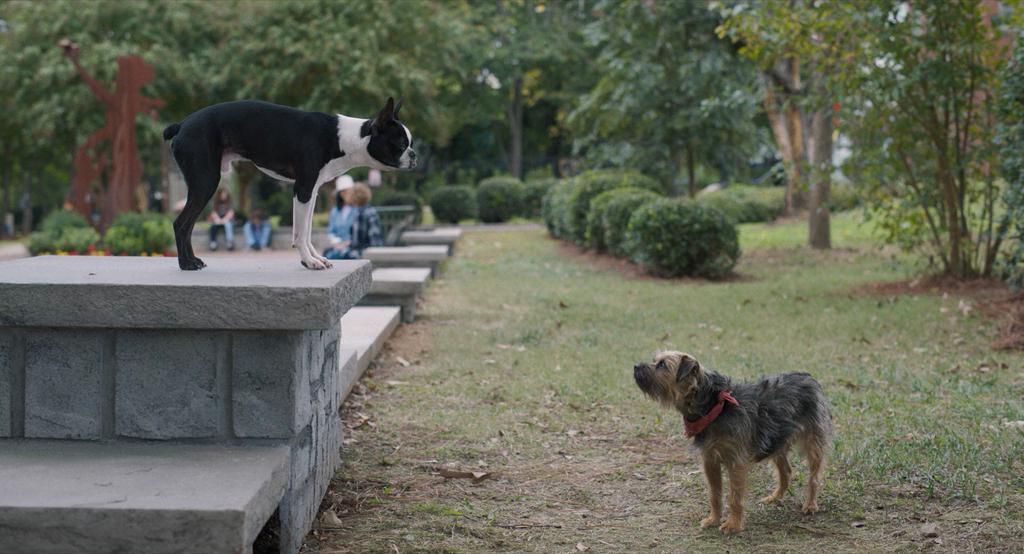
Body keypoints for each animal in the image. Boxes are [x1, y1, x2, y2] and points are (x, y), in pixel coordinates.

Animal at [161, 97, 413, 270]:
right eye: (400, 144)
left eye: (409, 144)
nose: (414, 154)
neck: (346, 139)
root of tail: (182, 124)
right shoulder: (302, 189)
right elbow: (300, 233)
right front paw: (309, 262)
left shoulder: (312, 192)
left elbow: (307, 230)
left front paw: (314, 258)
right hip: (205, 182)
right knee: (181, 223)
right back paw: (186, 264)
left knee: (188, 225)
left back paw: (192, 260)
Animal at [630, 350, 831, 532]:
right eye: (655, 360)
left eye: (662, 365)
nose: (636, 366)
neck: (714, 407)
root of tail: (808, 377)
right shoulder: (710, 461)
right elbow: (715, 494)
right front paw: (713, 519)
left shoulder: (736, 463)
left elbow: (734, 496)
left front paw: (733, 525)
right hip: (777, 441)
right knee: (786, 472)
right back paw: (775, 497)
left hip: (813, 443)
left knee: (814, 477)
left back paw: (810, 504)